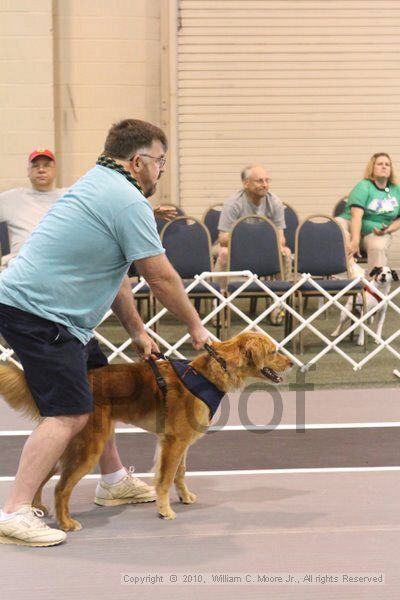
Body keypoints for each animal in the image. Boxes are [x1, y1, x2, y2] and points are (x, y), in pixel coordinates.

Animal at [0, 330, 290, 532]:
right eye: (274, 350)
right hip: (88, 446)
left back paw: (37, 508)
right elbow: (165, 478)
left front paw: (185, 497)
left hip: (71, 445)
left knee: (41, 473)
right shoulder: (173, 442)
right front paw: (165, 510)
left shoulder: (181, 441)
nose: (291, 364)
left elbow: (180, 473)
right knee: (61, 488)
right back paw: (65, 523)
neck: (208, 374)